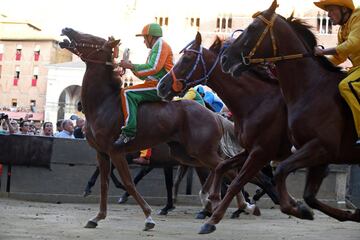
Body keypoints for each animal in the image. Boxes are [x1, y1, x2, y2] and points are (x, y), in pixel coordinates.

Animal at [59, 27, 255, 231]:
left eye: (91, 39)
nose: (67, 29)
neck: (103, 103)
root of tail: (215, 116)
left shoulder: (116, 152)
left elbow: (129, 183)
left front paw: (148, 217)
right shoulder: (102, 153)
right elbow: (104, 184)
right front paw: (98, 217)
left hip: (201, 151)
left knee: (224, 168)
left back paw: (234, 205)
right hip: (185, 154)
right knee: (224, 169)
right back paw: (234, 204)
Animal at [157, 32, 290, 233]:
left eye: (187, 59)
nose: (161, 86)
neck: (259, 101)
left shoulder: (261, 151)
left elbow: (234, 179)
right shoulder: (248, 151)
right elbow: (223, 170)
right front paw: (215, 202)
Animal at [222, 0, 360, 227]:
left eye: (253, 28)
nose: (225, 58)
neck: (311, 88)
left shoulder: (320, 147)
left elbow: (280, 171)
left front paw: (293, 207)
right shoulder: (318, 154)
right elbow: (309, 196)